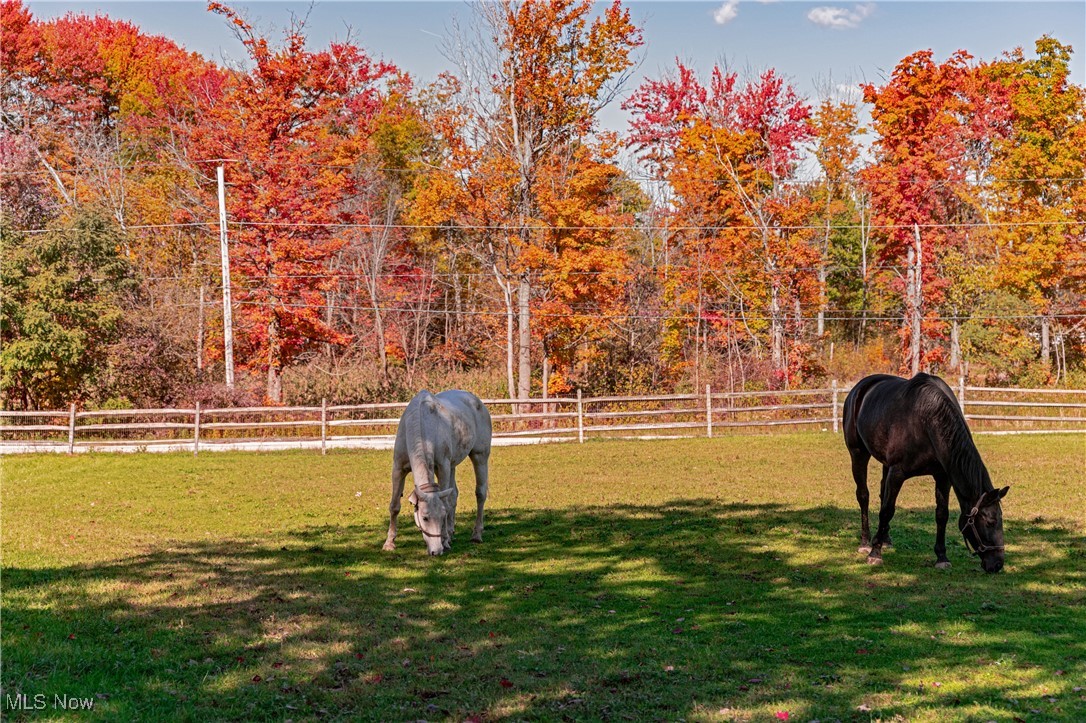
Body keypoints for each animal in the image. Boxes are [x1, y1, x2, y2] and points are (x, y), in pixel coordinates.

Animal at [382, 388, 493, 551]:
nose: (437, 550)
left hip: (480, 456)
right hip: (453, 465)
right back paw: (451, 532)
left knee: (480, 493)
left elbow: (445, 503)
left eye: (441, 516)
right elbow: (394, 505)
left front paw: (445, 541)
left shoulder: (443, 467)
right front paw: (389, 542)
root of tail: (476, 401)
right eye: (424, 518)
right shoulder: (398, 469)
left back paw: (476, 535)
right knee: (454, 494)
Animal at [838, 371, 1007, 568]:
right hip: (858, 454)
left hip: (885, 463)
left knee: (881, 493)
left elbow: (941, 514)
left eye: (1001, 520)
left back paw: (885, 539)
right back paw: (866, 542)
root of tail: (859, 388)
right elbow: (887, 510)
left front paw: (942, 557)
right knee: (863, 495)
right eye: (990, 521)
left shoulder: (943, 477)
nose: (997, 564)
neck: (927, 421)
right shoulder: (897, 473)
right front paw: (875, 553)